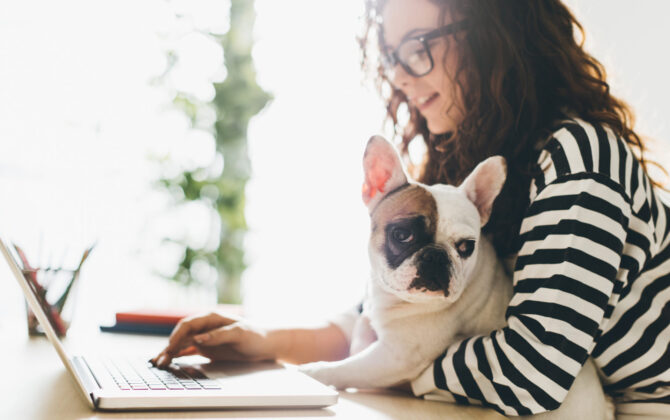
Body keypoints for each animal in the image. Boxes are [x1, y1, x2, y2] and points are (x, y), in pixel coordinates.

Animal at [300, 136, 616, 418]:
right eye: (402, 235)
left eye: (466, 246)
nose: (436, 256)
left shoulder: (395, 356)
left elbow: (344, 368)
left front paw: (309, 371)